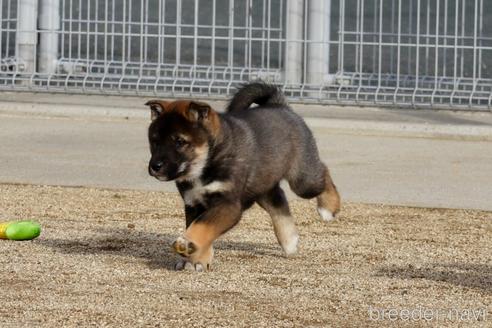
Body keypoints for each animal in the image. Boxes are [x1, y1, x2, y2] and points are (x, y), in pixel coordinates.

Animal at [144, 82, 340, 272]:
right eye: (154, 141)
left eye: (180, 142)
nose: (155, 167)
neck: (210, 159)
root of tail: (281, 105)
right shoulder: (193, 202)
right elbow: (198, 227)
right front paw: (196, 260)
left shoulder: (229, 204)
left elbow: (203, 225)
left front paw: (187, 244)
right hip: (263, 185)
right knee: (278, 201)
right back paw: (289, 241)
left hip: (303, 181)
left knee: (323, 173)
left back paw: (328, 209)